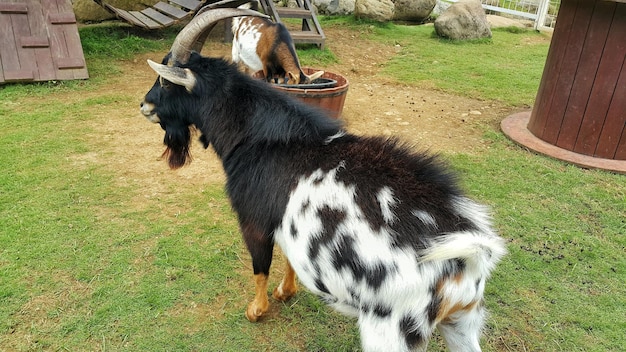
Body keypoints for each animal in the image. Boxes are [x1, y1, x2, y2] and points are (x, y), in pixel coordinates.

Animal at [139, 8, 504, 352]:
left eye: (166, 81)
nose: (144, 105)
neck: (258, 137)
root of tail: (467, 261)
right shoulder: (285, 223)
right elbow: (288, 257)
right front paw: (286, 291)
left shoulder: (253, 220)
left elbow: (260, 265)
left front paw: (256, 310)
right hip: (463, 324)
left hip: (392, 328)